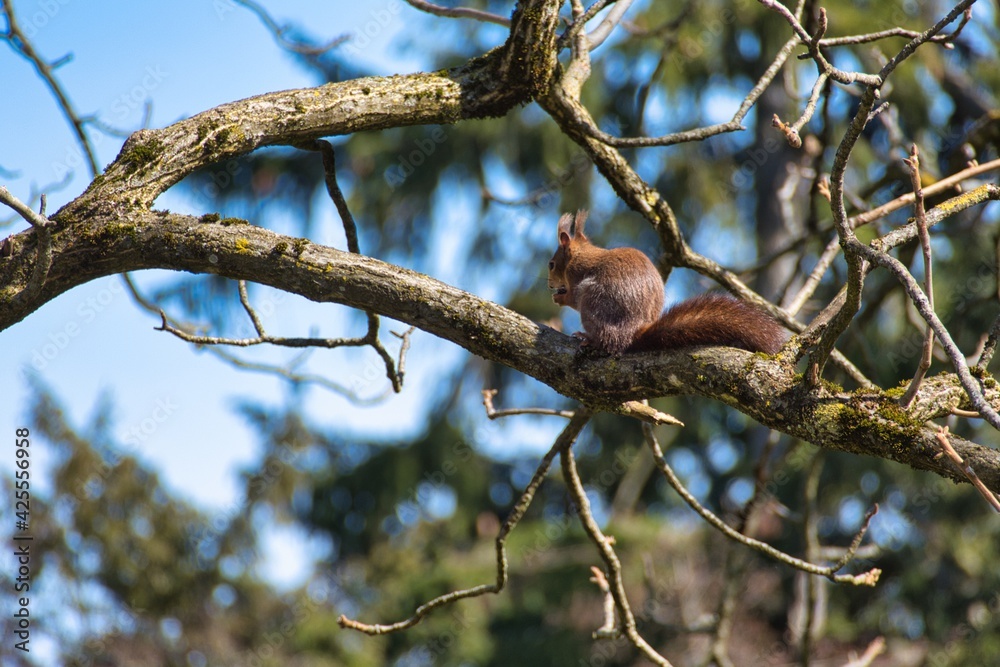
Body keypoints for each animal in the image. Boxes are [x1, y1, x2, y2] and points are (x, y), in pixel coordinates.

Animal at [547, 210, 785, 355]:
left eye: (551, 264)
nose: (550, 284)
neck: (579, 256)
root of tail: (632, 334)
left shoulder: (577, 276)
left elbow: (573, 298)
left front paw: (560, 298)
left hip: (594, 301)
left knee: (606, 341)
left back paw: (588, 337)